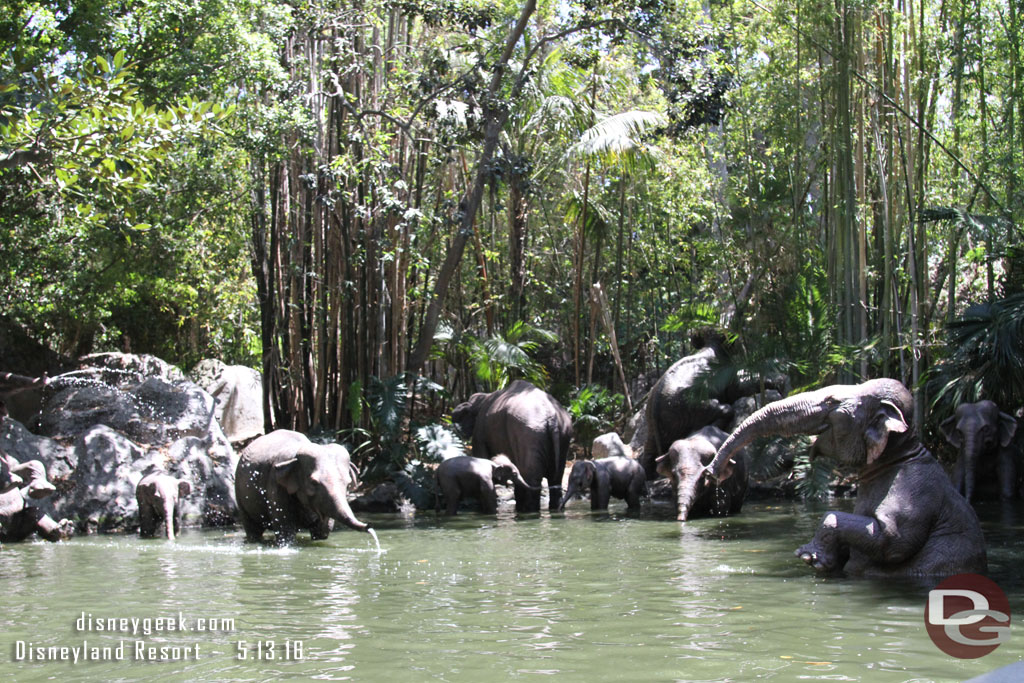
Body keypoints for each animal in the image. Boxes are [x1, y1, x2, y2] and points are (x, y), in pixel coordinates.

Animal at [234, 432, 374, 544]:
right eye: (313, 482)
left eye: (348, 483)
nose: (369, 526)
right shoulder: (275, 486)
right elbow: (285, 531)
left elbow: (323, 530)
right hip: (239, 491)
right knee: (252, 529)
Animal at [452, 378, 573, 511]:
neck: (483, 398)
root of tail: (552, 417)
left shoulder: (480, 433)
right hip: (563, 433)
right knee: (556, 478)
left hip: (529, 434)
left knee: (532, 478)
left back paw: (529, 511)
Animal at [704, 378, 983, 577]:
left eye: (831, 401)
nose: (714, 472)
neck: (904, 451)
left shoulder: (913, 489)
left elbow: (894, 542)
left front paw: (808, 556)